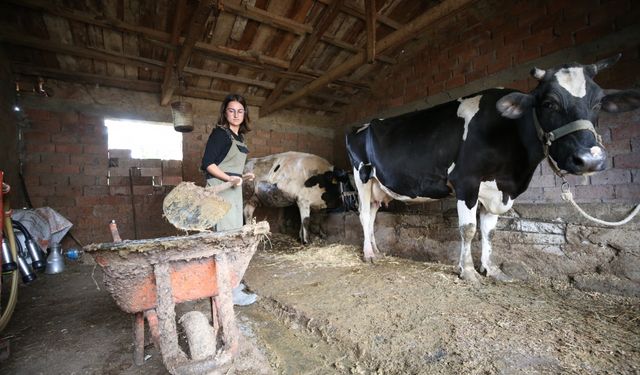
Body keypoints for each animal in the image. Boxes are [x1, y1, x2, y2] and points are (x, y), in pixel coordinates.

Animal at [350, 54, 640, 284]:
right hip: (362, 176)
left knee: (373, 215)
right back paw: (368, 254)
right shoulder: (466, 180)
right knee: (363, 215)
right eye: (548, 103)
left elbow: (489, 231)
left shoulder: (496, 189)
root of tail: (363, 124)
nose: (590, 159)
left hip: (377, 186)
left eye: (598, 103)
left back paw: (376, 250)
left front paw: (490, 269)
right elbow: (468, 229)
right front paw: (468, 271)